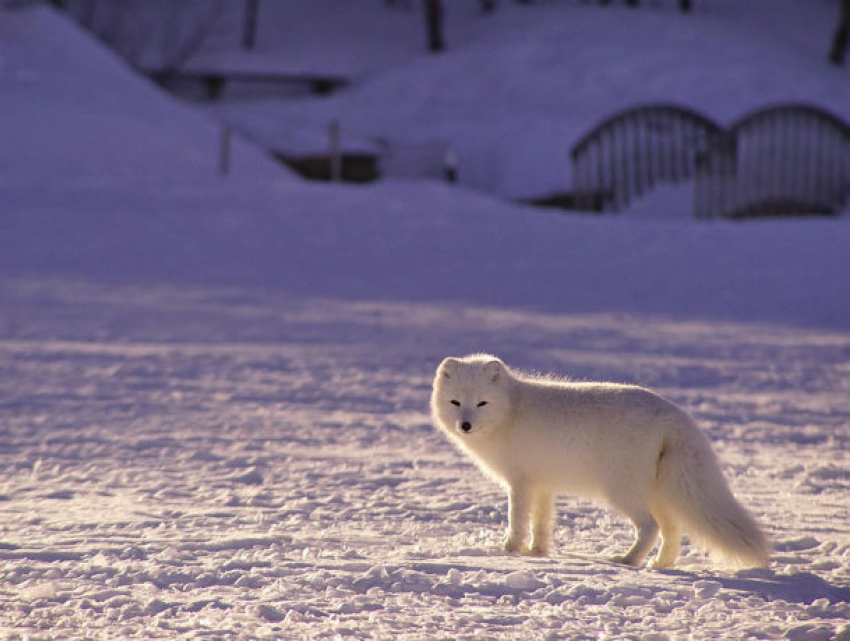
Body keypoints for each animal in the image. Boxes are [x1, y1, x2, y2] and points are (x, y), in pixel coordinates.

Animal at [430, 352, 768, 568]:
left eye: (482, 403)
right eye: (455, 402)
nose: (465, 425)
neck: (511, 410)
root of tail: (674, 414)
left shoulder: (520, 483)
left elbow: (517, 520)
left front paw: (509, 550)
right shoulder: (543, 484)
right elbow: (542, 522)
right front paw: (538, 552)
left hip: (621, 490)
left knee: (650, 527)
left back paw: (628, 560)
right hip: (658, 492)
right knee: (672, 529)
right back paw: (660, 564)